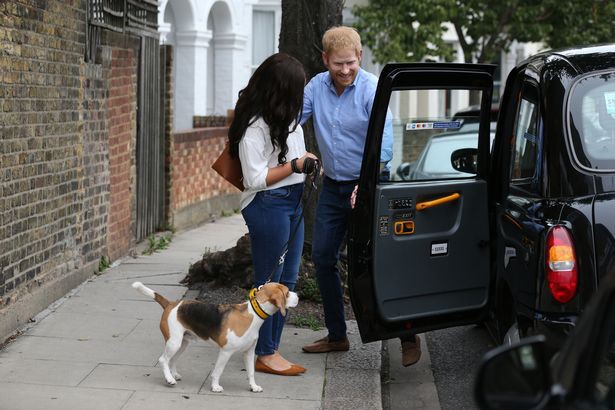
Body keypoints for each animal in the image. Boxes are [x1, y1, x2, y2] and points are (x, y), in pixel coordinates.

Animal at [132, 280, 300, 392]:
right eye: (287, 293)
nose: (298, 296)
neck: (253, 315)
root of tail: (171, 304)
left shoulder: (249, 352)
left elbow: (251, 372)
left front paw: (253, 386)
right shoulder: (226, 352)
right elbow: (218, 371)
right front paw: (215, 386)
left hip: (182, 343)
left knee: (171, 360)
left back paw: (173, 376)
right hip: (174, 342)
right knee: (163, 360)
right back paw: (169, 379)